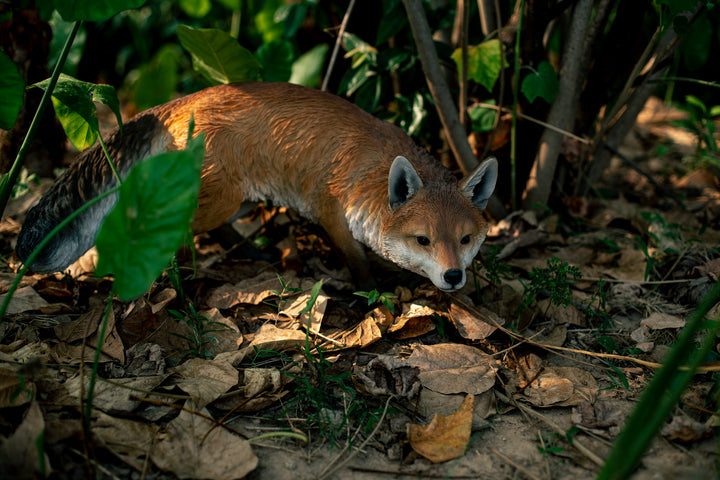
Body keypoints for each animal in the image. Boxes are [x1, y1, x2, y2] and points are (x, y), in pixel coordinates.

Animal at [16, 82, 498, 292]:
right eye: (423, 240)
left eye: (466, 240)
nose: (454, 277)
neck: (372, 179)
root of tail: (181, 100)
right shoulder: (330, 210)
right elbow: (357, 261)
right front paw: (371, 293)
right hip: (221, 197)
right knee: (178, 226)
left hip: (235, 199)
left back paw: (251, 250)